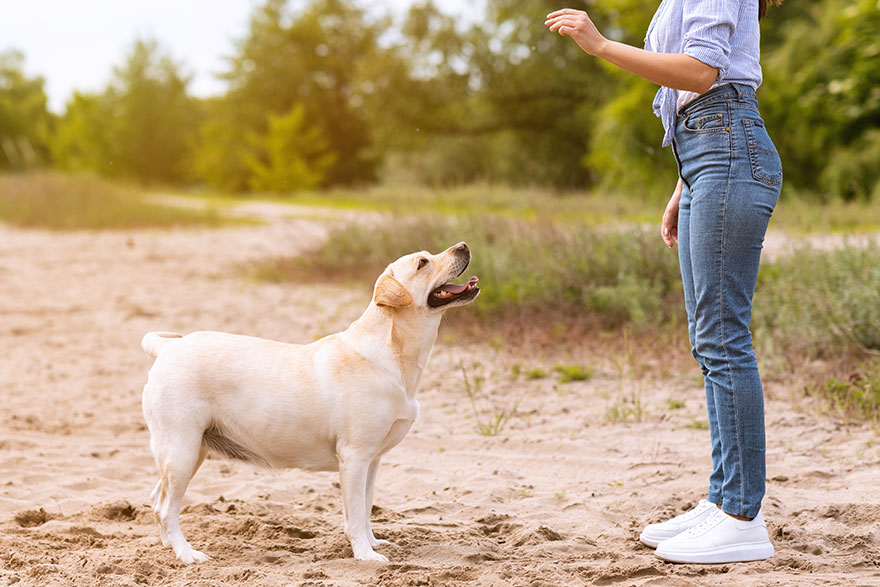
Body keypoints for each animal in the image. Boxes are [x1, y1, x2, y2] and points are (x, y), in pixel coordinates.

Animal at [142, 241, 482, 564]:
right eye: (422, 263)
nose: (464, 245)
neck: (395, 354)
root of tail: (167, 348)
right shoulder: (355, 457)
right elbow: (355, 515)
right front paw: (366, 555)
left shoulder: (372, 460)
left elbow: (365, 510)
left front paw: (373, 544)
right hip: (182, 450)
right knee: (166, 508)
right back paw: (187, 554)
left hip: (192, 451)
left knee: (157, 498)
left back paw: (169, 548)